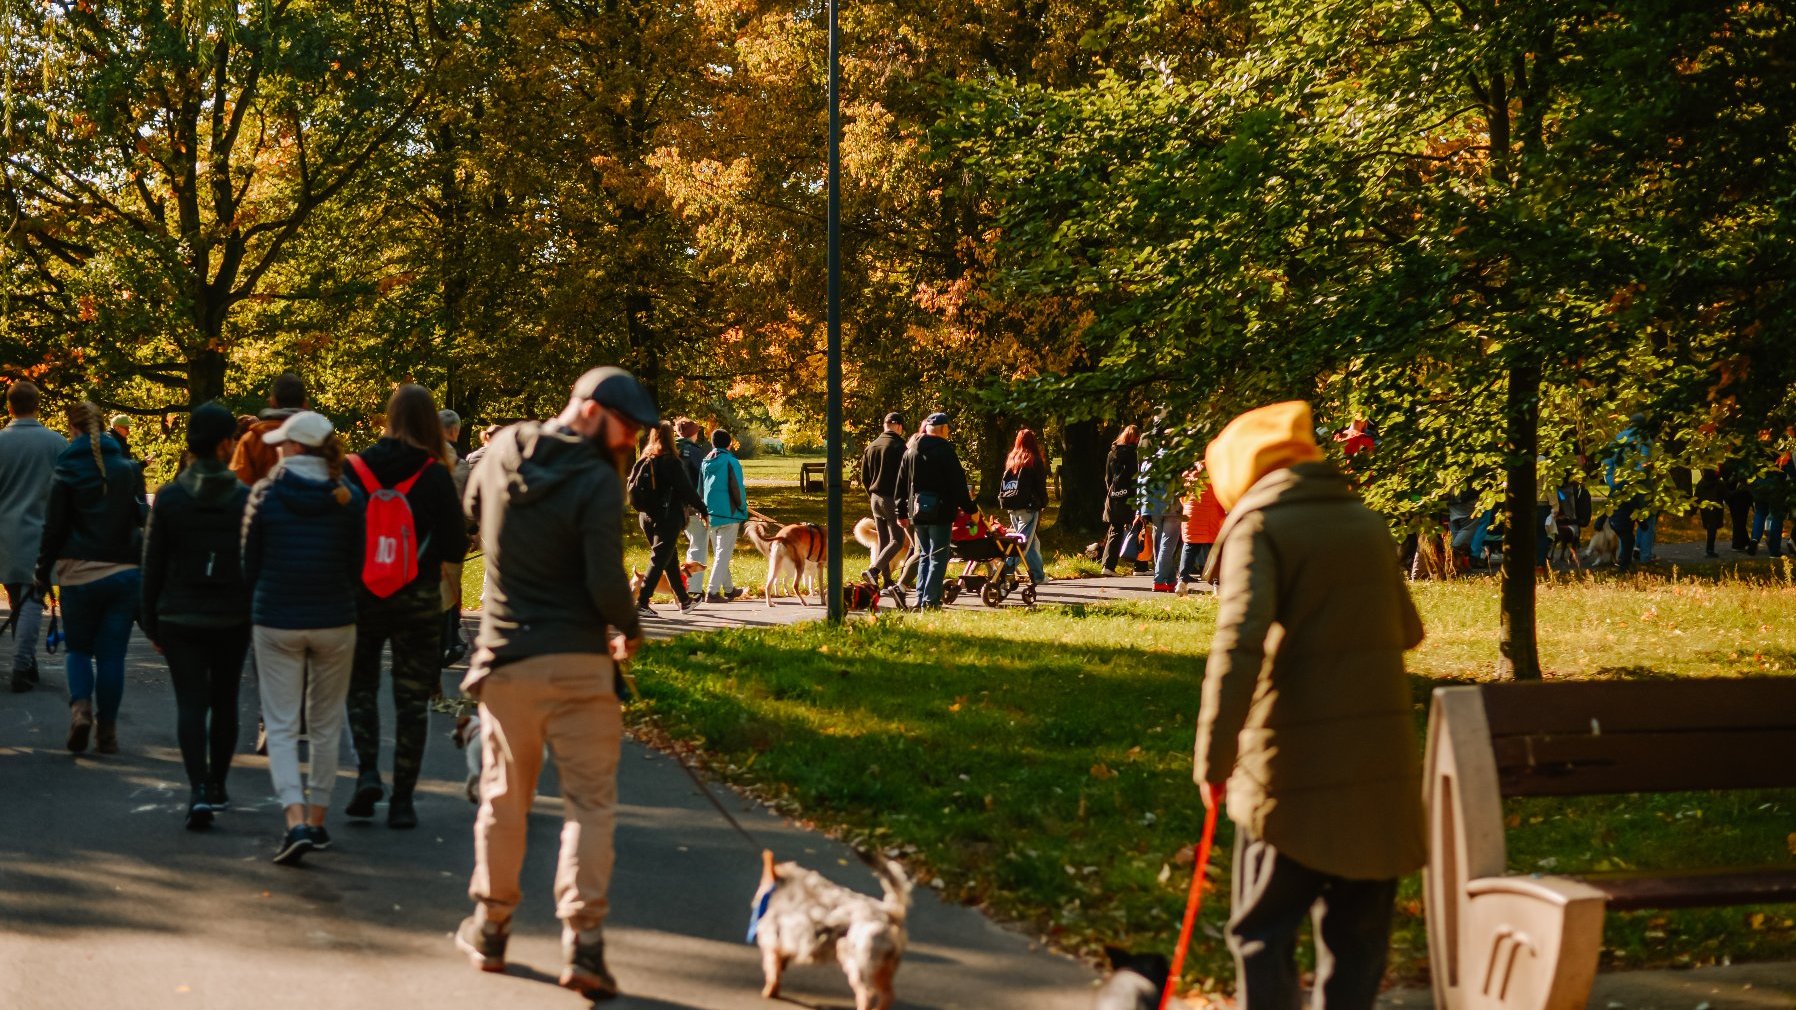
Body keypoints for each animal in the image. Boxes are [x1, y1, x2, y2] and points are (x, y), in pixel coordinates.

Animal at [750, 848, 912, 1006]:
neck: (779, 888)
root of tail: (890, 912)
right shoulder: (783, 948)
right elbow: (779, 971)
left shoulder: (771, 946)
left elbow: (772, 974)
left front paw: (769, 992)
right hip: (883, 969)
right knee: (887, 994)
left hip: (857, 962)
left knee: (867, 994)